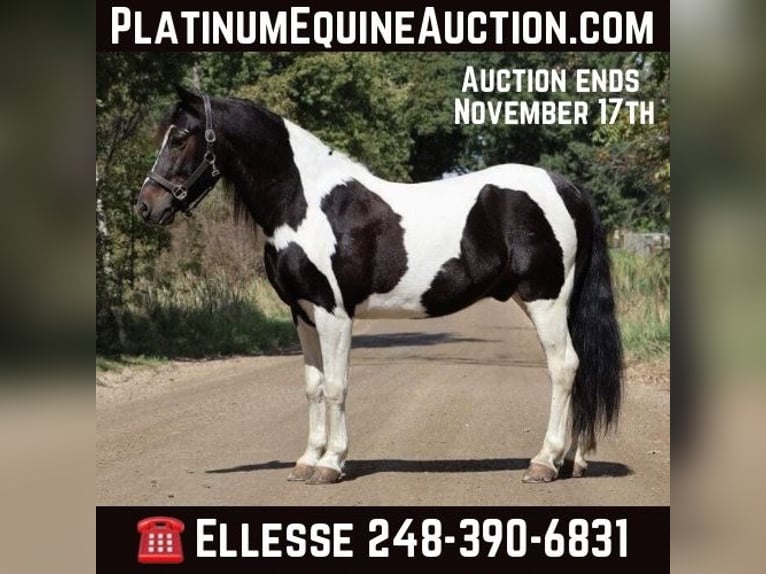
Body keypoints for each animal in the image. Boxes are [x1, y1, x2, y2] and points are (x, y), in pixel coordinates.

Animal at [136, 85, 622, 485]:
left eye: (180, 137)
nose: (146, 206)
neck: (303, 203)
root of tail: (568, 188)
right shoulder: (302, 312)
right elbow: (313, 386)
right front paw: (307, 460)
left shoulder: (333, 312)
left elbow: (337, 385)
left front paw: (331, 464)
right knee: (578, 369)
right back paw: (572, 460)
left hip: (545, 299)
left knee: (564, 367)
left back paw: (544, 462)